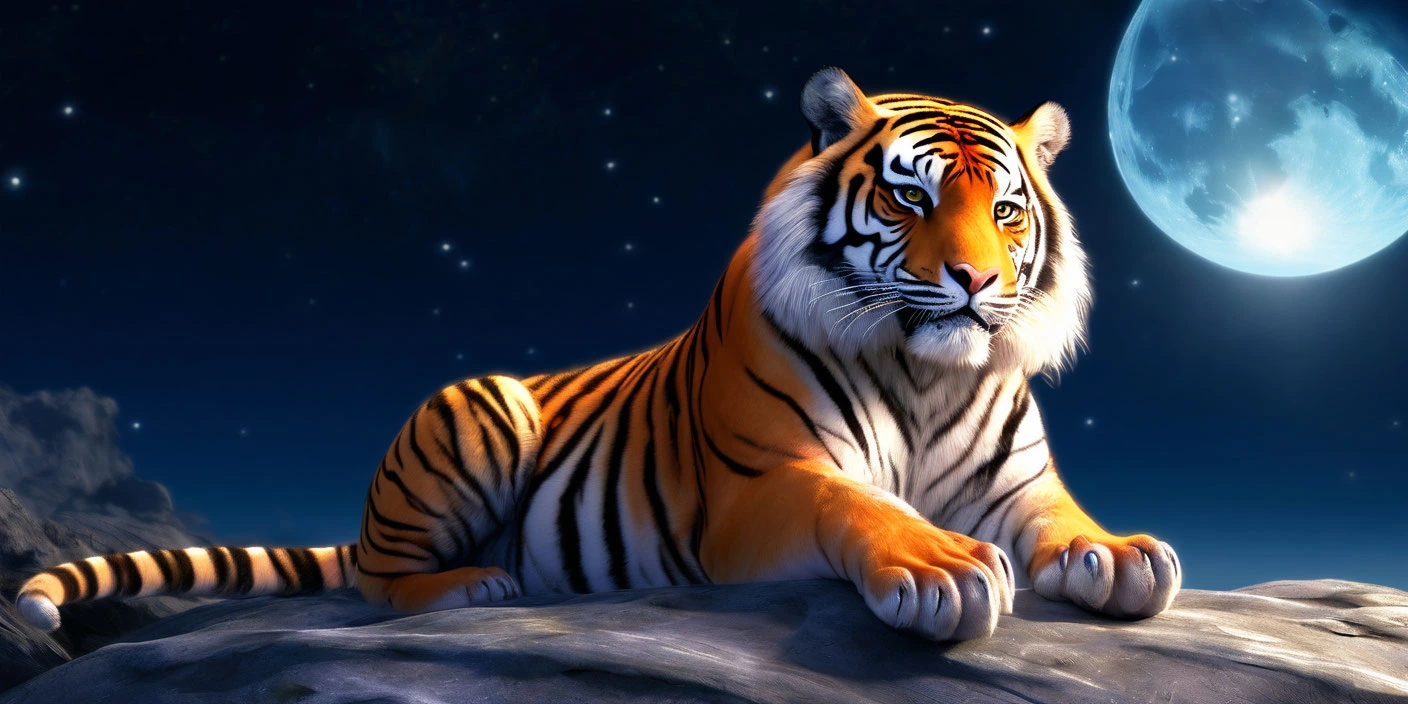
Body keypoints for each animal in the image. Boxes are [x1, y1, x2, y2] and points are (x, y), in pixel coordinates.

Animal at [17, 68, 1181, 642]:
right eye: (908, 197)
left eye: (1008, 209)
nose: (978, 280)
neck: (926, 372)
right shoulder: (762, 487)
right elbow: (859, 505)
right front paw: (940, 565)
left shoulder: (1016, 484)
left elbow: (1065, 519)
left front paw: (1121, 555)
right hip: (479, 407)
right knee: (376, 582)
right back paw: (477, 588)